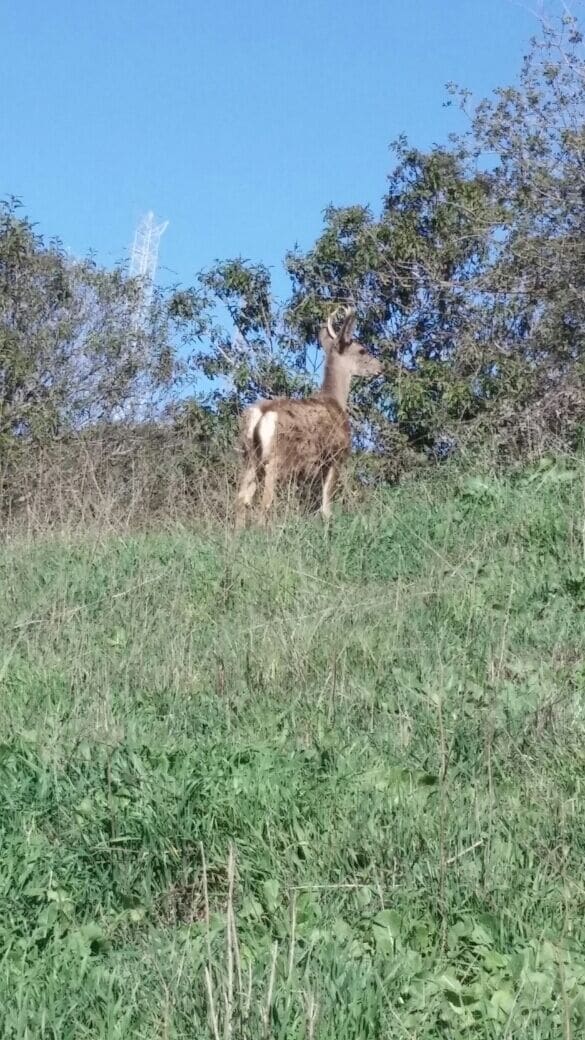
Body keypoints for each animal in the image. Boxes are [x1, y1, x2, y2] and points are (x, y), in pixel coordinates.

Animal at [235, 306, 383, 526]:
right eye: (362, 350)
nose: (380, 367)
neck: (335, 401)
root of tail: (262, 415)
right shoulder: (336, 456)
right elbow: (326, 507)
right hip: (276, 458)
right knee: (264, 503)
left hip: (249, 458)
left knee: (241, 499)